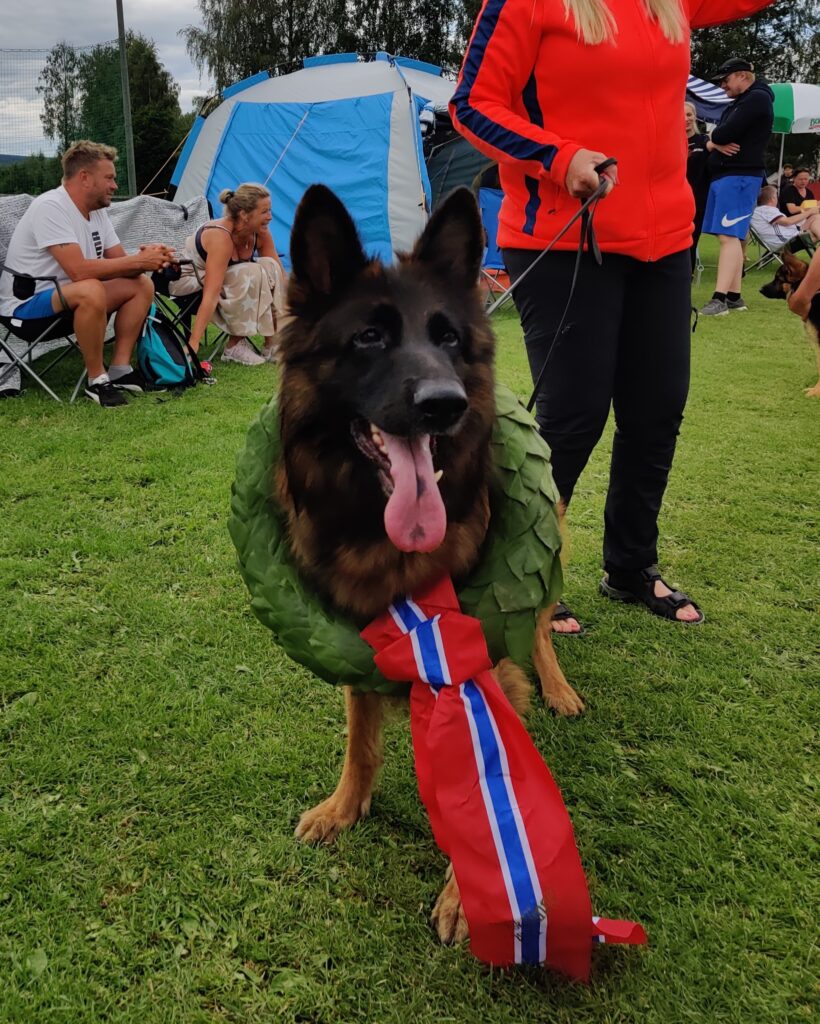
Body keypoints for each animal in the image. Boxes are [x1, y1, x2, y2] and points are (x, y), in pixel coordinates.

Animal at [275, 184, 583, 943]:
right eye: (369, 338)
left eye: (447, 338)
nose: (445, 405)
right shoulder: (355, 632)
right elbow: (360, 737)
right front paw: (344, 808)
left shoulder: (481, 650)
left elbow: (487, 774)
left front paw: (469, 895)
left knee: (540, 625)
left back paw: (558, 687)